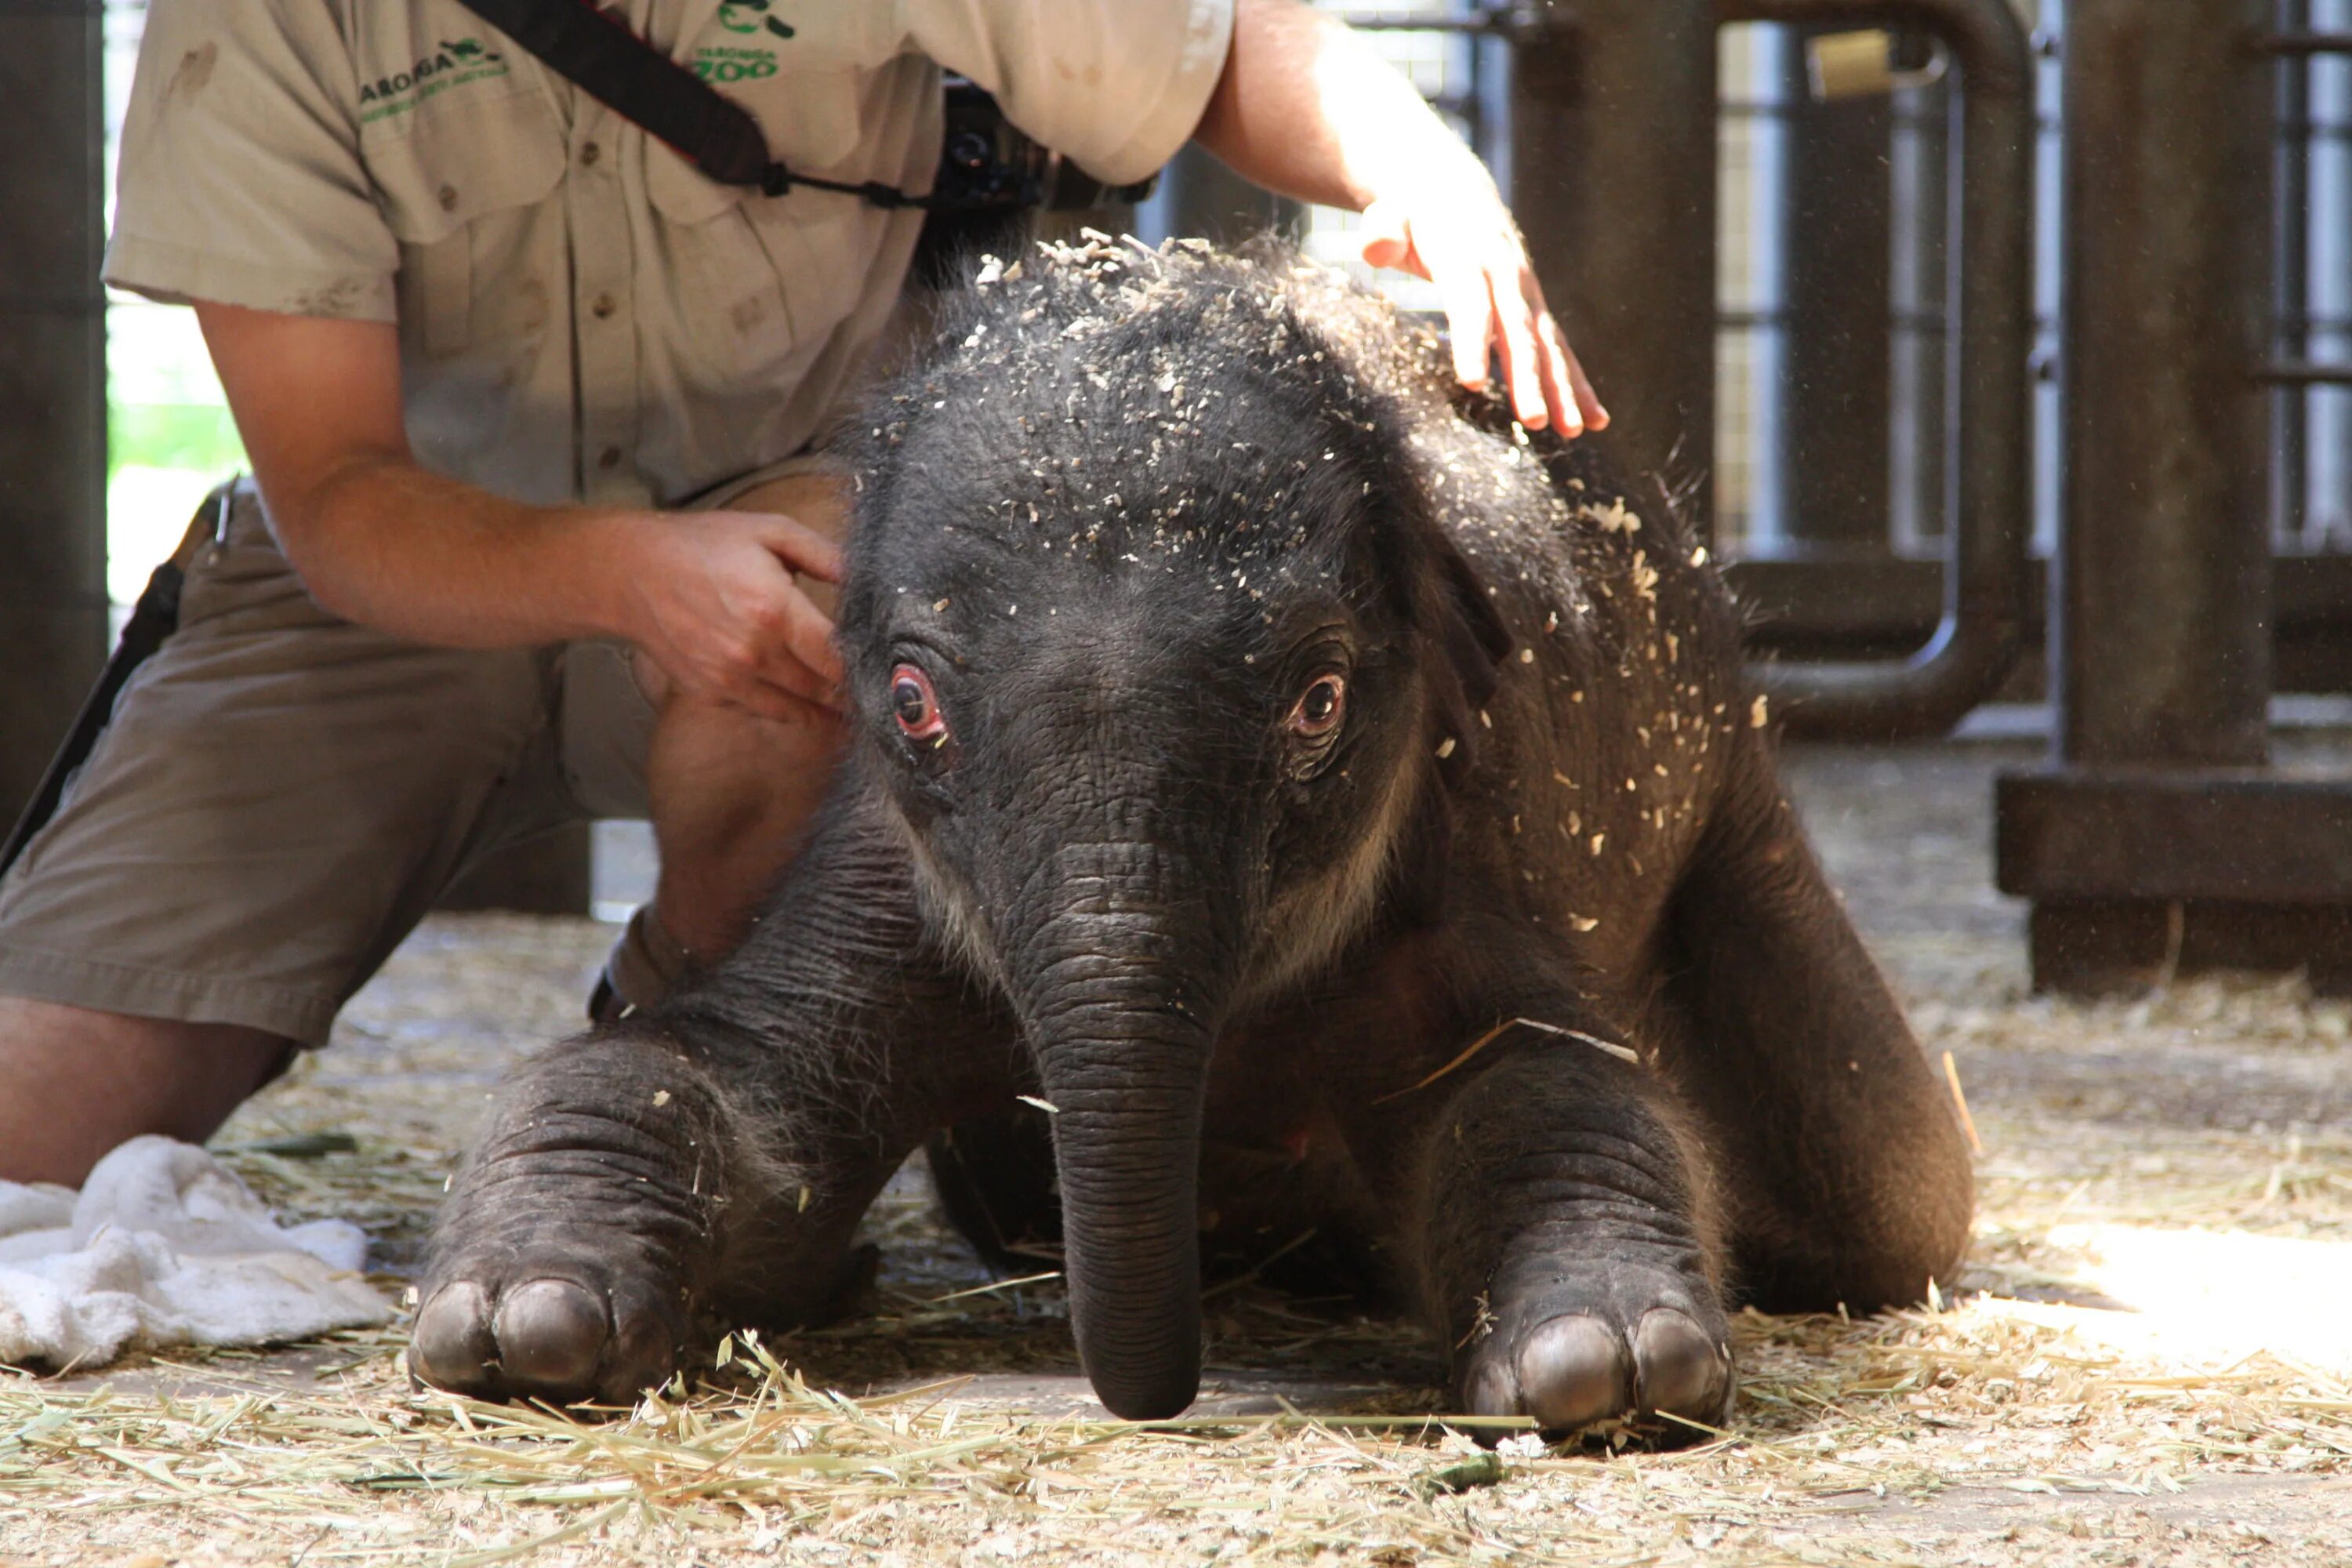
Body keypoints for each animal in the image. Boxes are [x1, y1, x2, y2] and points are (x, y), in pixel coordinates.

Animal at [414, 241, 1976, 1439]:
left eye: (1319, 700)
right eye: (913, 701)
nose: (1160, 1393)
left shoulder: (1463, 839)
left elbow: (1540, 1084)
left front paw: (1604, 1368)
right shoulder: (883, 875)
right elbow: (721, 1083)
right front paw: (518, 1327)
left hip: (1730, 770)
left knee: (1888, 1186)